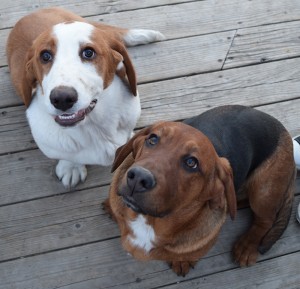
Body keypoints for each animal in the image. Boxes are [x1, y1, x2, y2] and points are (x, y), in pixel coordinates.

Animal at [5, 7, 164, 187]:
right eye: (45, 56)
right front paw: (71, 167)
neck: (94, 125)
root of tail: (36, 11)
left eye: (88, 53)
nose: (62, 98)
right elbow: (67, 157)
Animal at [104, 105, 296, 274]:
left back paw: (247, 246)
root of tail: (283, 130)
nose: (138, 178)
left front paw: (183, 262)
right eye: (152, 139)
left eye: (191, 163)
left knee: (266, 220)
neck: (148, 222)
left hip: (263, 191)